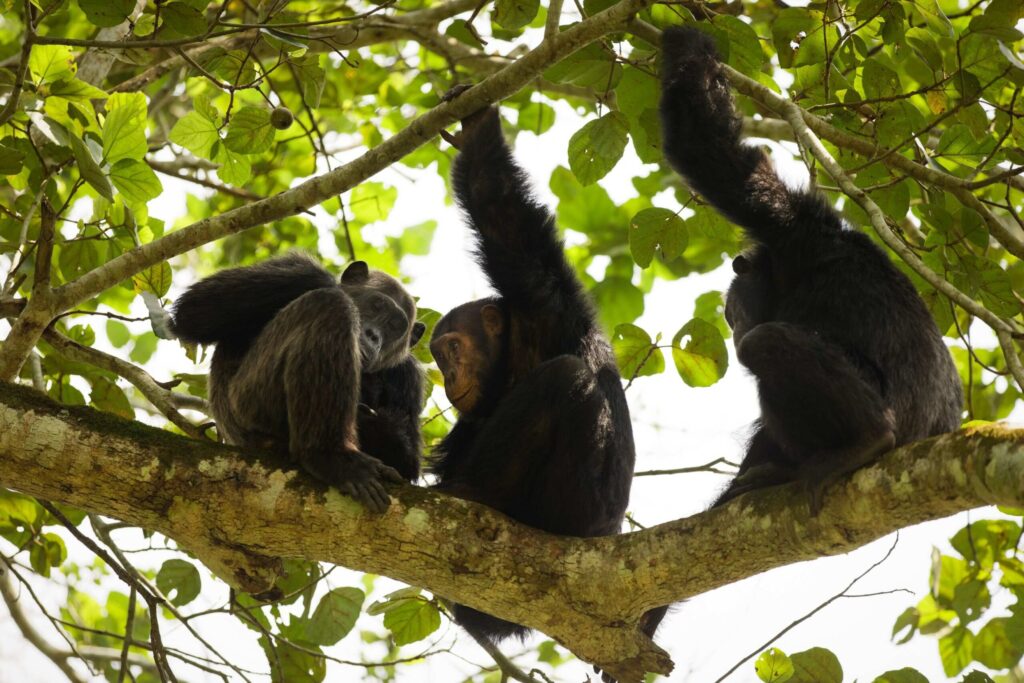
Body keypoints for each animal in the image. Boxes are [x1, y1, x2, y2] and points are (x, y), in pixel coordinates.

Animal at [171, 252, 426, 512]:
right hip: (249, 404)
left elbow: (407, 463)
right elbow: (195, 308)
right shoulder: (294, 268)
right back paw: (330, 457)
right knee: (330, 305)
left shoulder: (409, 377)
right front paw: (333, 285)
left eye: (395, 326)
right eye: (376, 306)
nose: (374, 335)